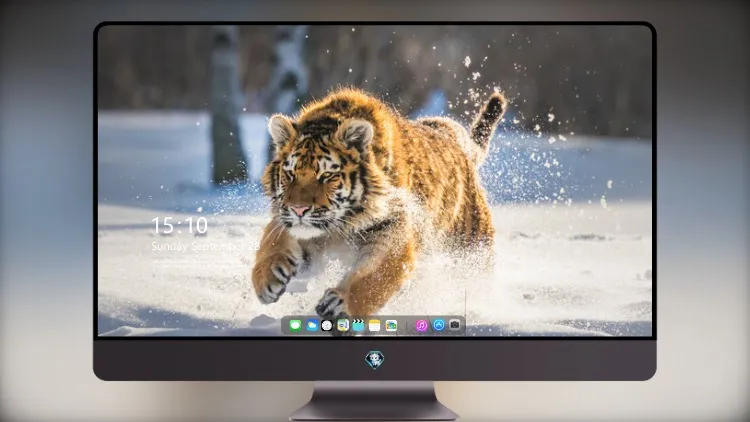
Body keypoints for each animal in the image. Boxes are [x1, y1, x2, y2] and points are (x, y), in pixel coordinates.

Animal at [251, 87, 507, 332]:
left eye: (327, 175)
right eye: (290, 174)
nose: (299, 209)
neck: (341, 225)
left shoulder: (393, 233)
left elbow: (374, 279)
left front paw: (341, 307)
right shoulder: (292, 224)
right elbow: (273, 243)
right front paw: (266, 278)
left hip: (471, 250)